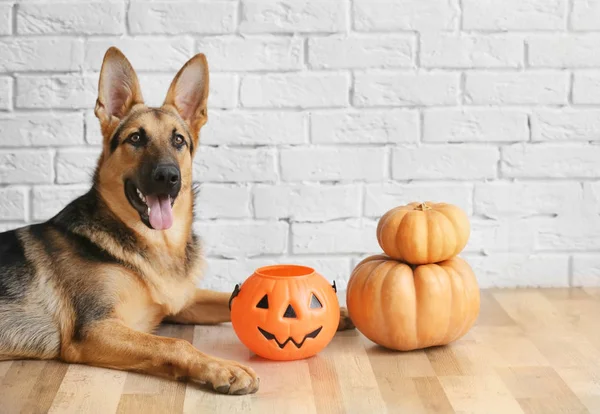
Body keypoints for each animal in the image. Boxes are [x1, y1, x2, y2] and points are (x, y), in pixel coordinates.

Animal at [0, 47, 354, 394]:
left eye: (179, 140)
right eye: (136, 139)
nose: (168, 176)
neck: (156, 245)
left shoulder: (182, 301)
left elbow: (228, 296)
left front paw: (338, 312)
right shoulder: (95, 329)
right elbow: (174, 344)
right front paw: (224, 369)